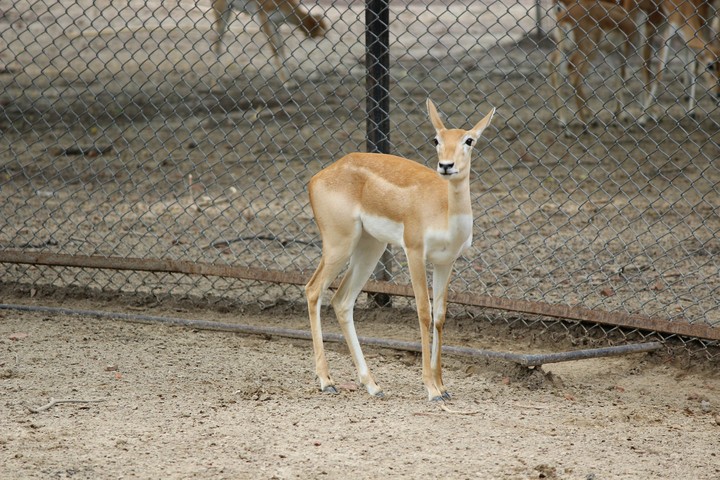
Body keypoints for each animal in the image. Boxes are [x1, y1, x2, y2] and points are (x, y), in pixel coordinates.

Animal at [305, 100, 495, 401]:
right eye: (436, 139)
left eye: (469, 140)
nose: (446, 166)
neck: (444, 210)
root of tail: (318, 177)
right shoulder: (414, 251)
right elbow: (423, 311)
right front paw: (431, 389)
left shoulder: (446, 262)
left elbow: (440, 316)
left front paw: (443, 386)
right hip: (339, 244)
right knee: (313, 290)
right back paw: (327, 381)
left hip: (370, 247)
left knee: (342, 300)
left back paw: (373, 385)